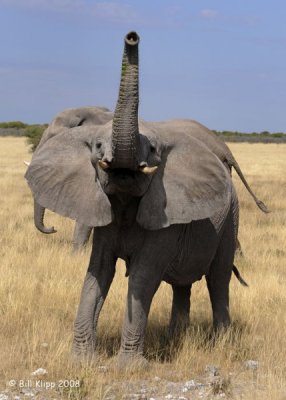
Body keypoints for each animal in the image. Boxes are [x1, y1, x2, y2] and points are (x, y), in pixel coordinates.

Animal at [25, 30, 248, 362]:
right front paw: (82, 359)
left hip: (230, 218)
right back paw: (175, 339)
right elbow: (97, 272)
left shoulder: (165, 215)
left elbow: (144, 275)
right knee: (183, 284)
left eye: (153, 149)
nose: (132, 37)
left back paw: (222, 344)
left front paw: (128, 365)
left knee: (218, 279)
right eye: (97, 146)